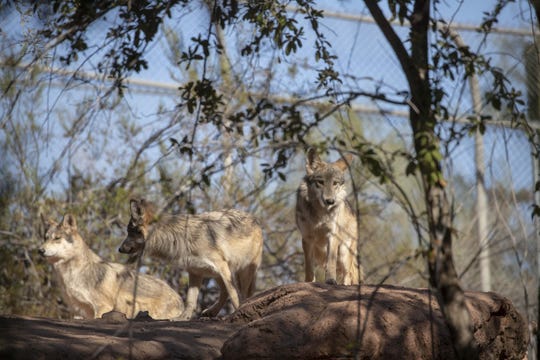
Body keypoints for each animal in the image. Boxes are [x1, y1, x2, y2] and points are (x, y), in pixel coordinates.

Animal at [39, 212, 185, 320]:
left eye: (57, 238)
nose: (40, 250)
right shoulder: (81, 312)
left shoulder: (102, 308)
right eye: (45, 238)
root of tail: (179, 299)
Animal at [118, 198, 264, 320]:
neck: (178, 239)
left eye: (130, 232)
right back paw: (211, 312)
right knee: (224, 292)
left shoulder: (221, 267)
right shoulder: (195, 272)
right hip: (217, 274)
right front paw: (182, 318)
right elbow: (190, 301)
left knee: (242, 294)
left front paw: (237, 312)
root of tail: (254, 218)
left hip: (243, 272)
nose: (119, 249)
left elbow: (234, 295)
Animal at [296, 148, 362, 286]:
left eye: (335, 183)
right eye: (320, 182)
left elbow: (330, 263)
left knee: (348, 275)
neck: (320, 214)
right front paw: (309, 282)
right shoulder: (307, 238)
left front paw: (330, 280)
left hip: (343, 254)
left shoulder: (332, 235)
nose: (330, 201)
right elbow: (309, 268)